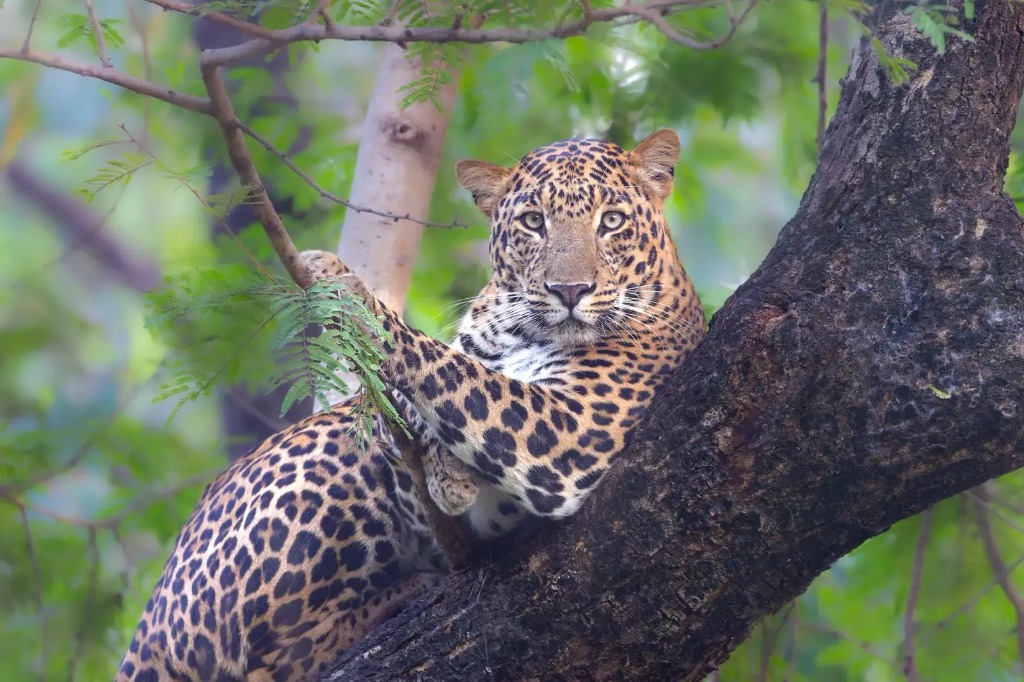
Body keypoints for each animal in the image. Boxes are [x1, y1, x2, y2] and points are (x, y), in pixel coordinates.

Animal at [116, 129, 705, 681]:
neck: (520, 331)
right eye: (534, 223)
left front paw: (348, 289)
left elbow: (447, 366)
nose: (570, 290)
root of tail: (149, 622)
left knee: (276, 659)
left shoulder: (574, 424)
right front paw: (444, 468)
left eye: (612, 222)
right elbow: (435, 384)